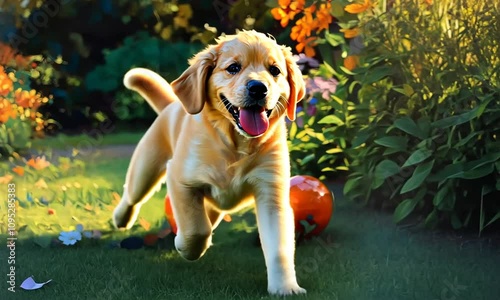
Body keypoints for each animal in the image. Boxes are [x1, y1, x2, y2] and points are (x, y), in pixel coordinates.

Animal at [114, 30, 306, 296]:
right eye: (233, 68)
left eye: (274, 70)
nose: (258, 88)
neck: (236, 144)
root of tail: (172, 105)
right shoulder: (181, 180)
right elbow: (196, 228)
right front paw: (184, 246)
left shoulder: (272, 194)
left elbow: (279, 248)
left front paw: (285, 288)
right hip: (146, 167)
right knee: (132, 195)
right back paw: (121, 218)